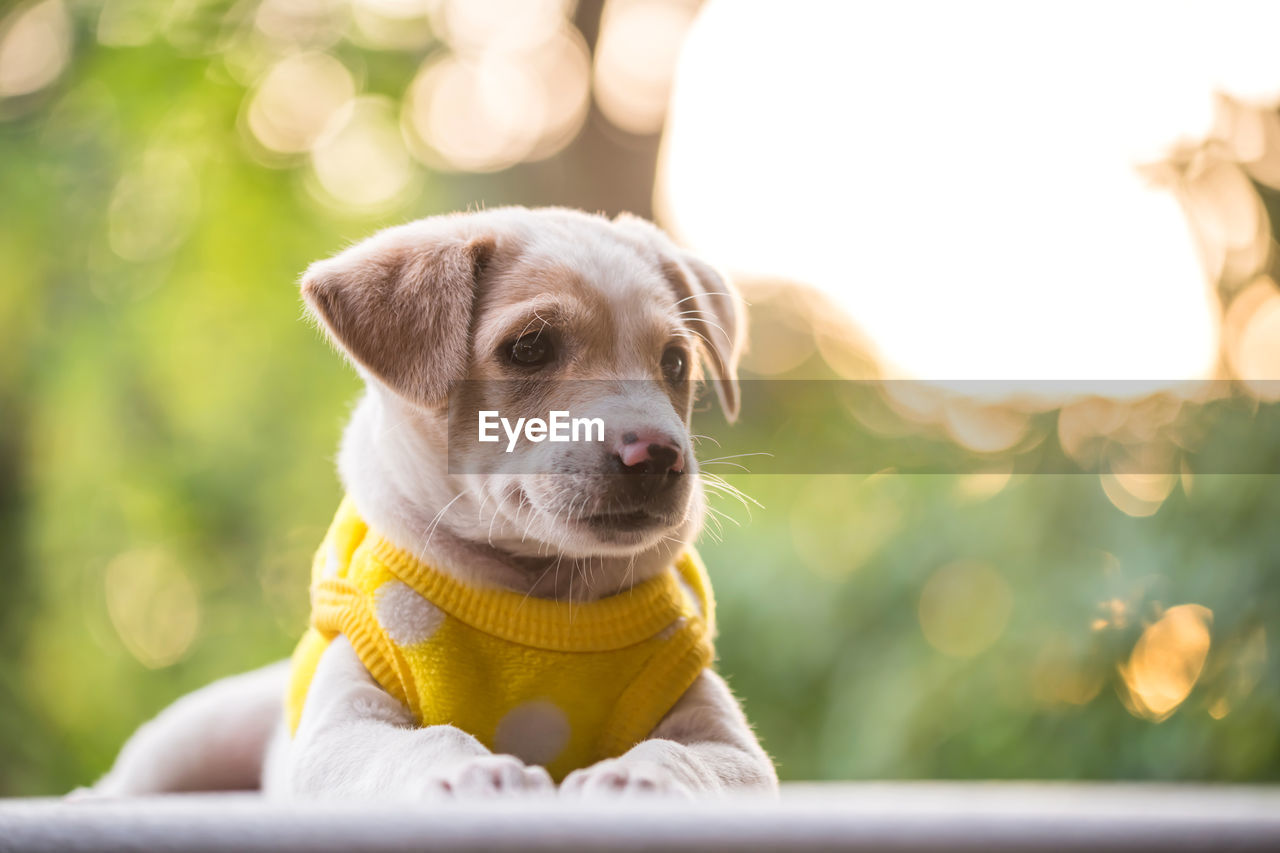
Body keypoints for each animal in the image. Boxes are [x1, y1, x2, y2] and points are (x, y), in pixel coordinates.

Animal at [90, 204, 773, 799]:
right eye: (530, 348)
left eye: (676, 362)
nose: (658, 455)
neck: (538, 590)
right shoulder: (340, 730)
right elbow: (425, 741)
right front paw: (475, 772)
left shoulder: (728, 741)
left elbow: (681, 755)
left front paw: (637, 778)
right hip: (195, 733)